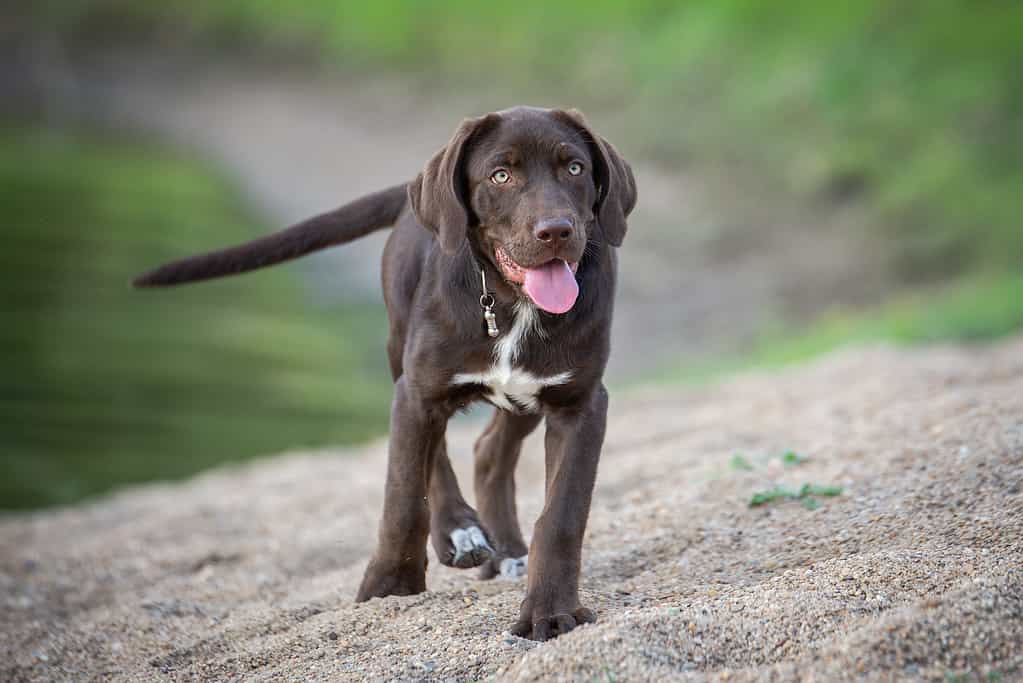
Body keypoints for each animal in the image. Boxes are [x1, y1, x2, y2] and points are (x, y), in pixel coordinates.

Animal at [132, 106, 634, 642]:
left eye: (575, 168)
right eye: (501, 175)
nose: (556, 230)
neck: (509, 304)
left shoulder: (579, 403)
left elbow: (562, 514)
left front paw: (550, 610)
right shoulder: (418, 392)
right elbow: (403, 497)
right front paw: (390, 585)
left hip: (519, 397)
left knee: (488, 452)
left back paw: (508, 552)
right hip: (403, 351)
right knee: (438, 456)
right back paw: (459, 529)